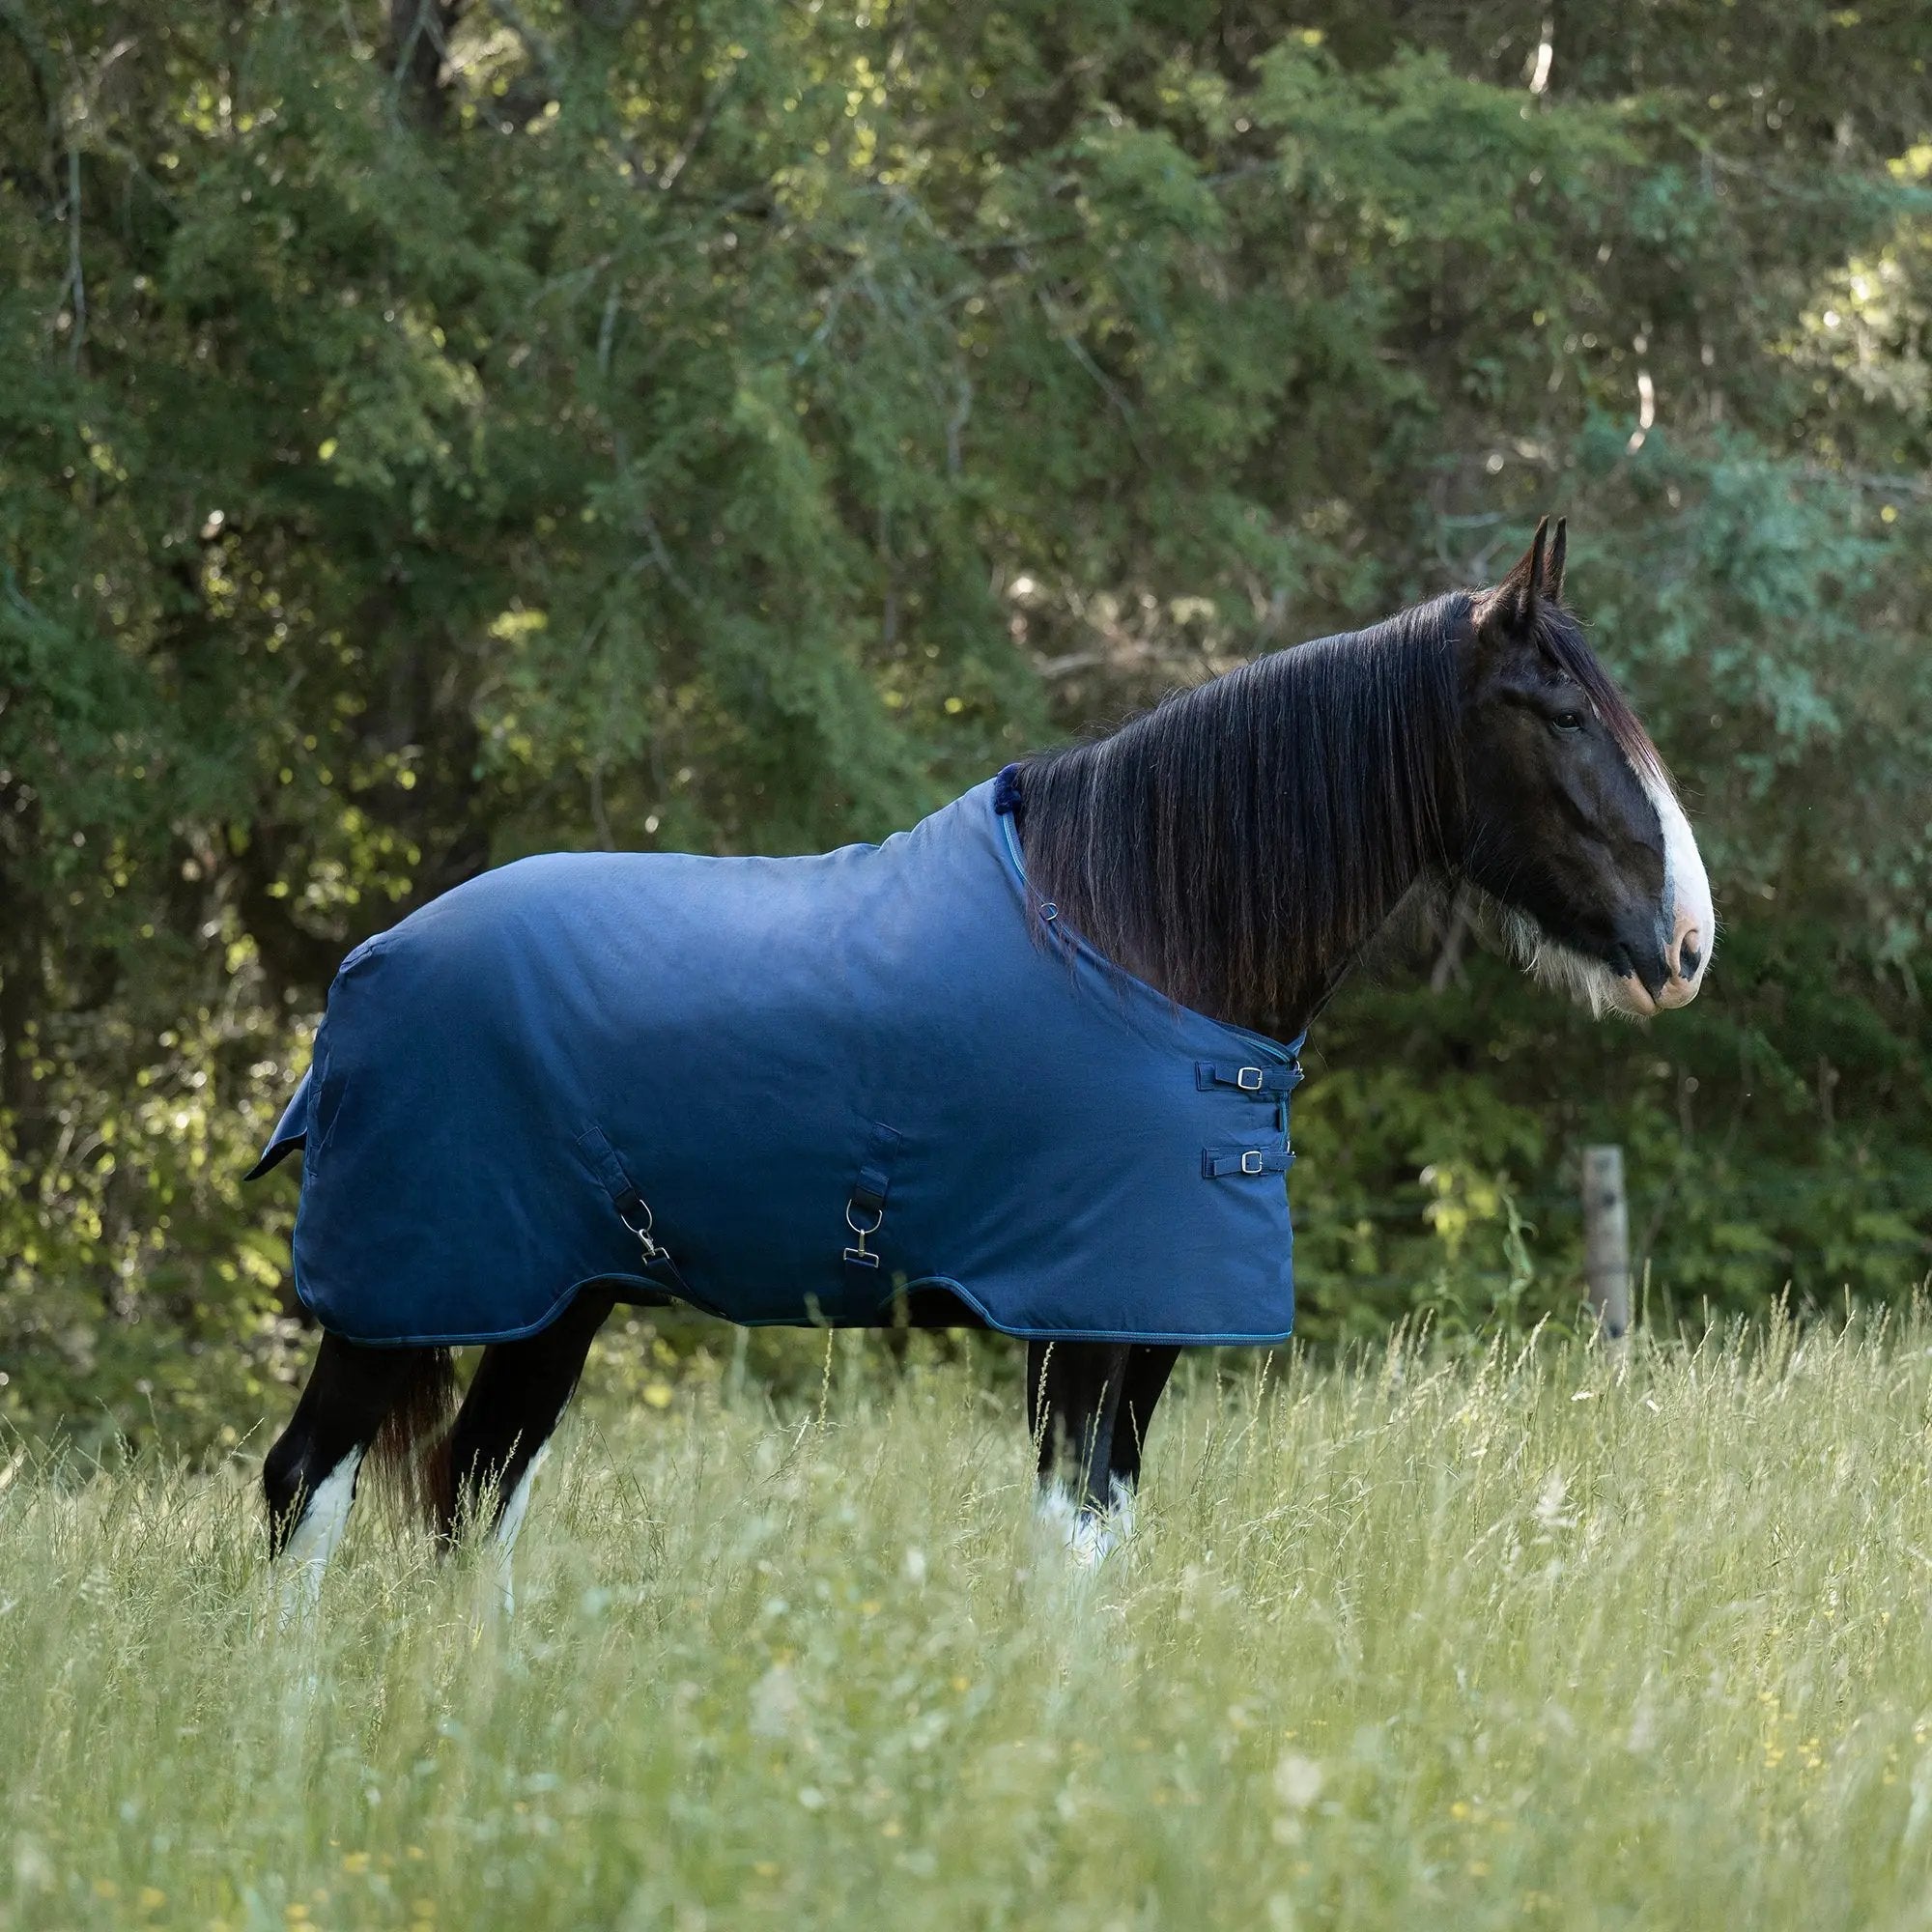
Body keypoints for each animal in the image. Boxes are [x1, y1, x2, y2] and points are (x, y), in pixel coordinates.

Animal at [256, 518, 1712, 1602]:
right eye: (1563, 714)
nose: (1689, 941)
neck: (1138, 938)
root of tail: (368, 964)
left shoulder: (1145, 1326)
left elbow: (1103, 1536)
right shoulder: (1080, 1316)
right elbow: (1066, 1547)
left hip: (551, 1302)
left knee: (467, 1501)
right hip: (398, 1296)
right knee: (301, 1487)